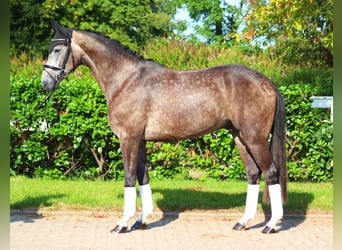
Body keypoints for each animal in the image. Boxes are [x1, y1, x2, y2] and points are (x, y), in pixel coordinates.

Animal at [41, 22, 288, 234]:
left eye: (58, 49)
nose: (45, 83)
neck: (125, 79)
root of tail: (266, 81)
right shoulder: (140, 141)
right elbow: (143, 177)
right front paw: (141, 221)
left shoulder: (128, 139)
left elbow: (129, 177)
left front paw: (122, 223)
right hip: (240, 137)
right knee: (254, 173)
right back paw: (243, 222)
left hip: (255, 139)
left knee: (271, 172)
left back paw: (271, 225)